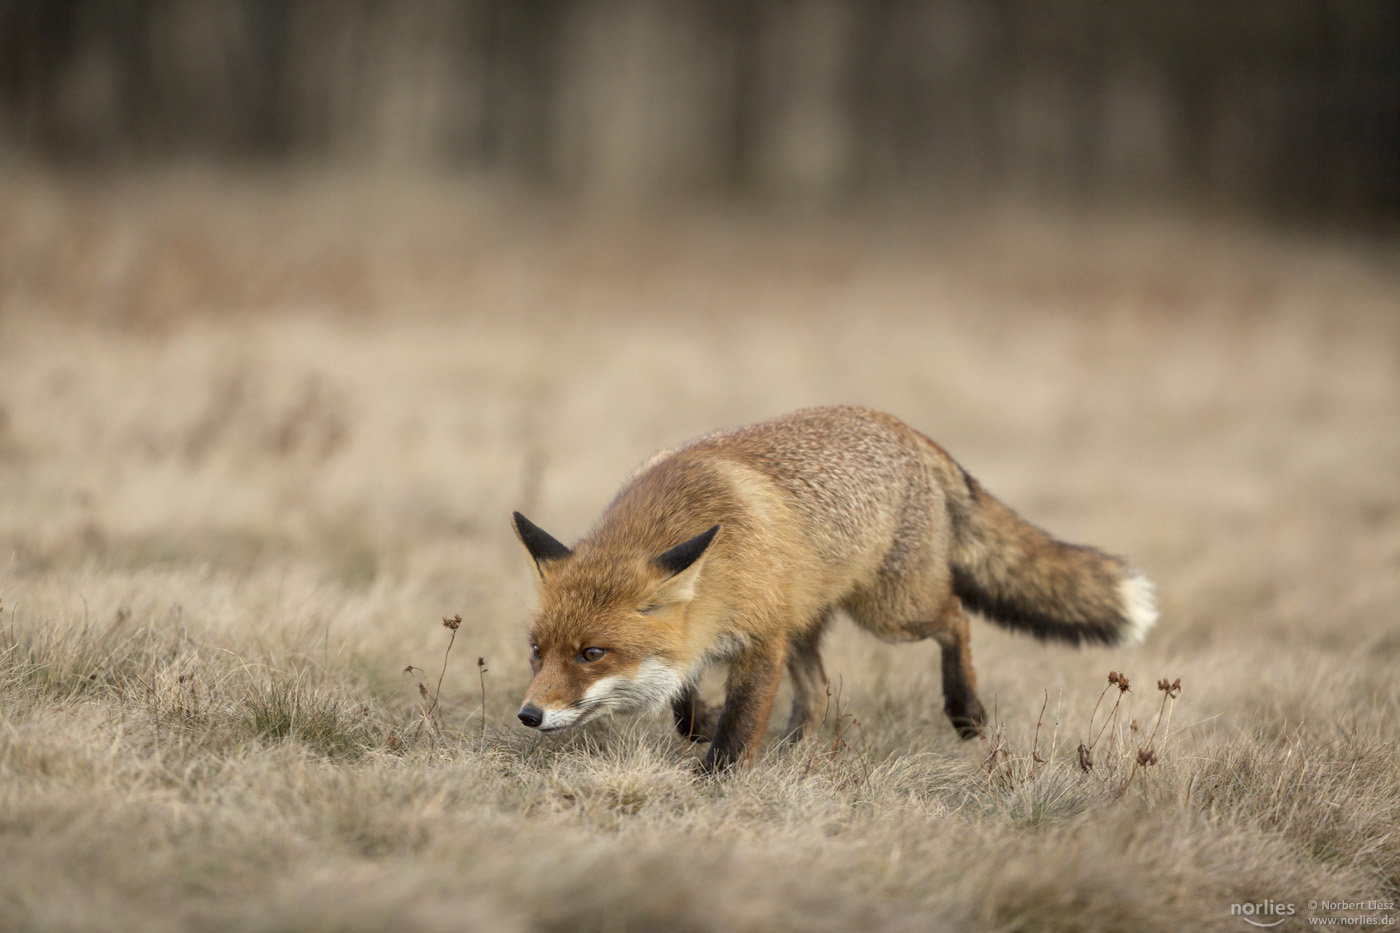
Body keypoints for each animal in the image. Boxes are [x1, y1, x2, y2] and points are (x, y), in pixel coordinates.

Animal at [509, 403, 1153, 767]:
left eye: (592, 654)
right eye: (537, 651)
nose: (528, 715)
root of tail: (905, 428)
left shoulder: (762, 640)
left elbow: (737, 728)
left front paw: (716, 781)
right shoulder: (700, 638)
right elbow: (686, 705)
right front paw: (705, 723)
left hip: (891, 611)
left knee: (955, 617)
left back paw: (965, 710)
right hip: (811, 623)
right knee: (817, 691)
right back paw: (796, 752)